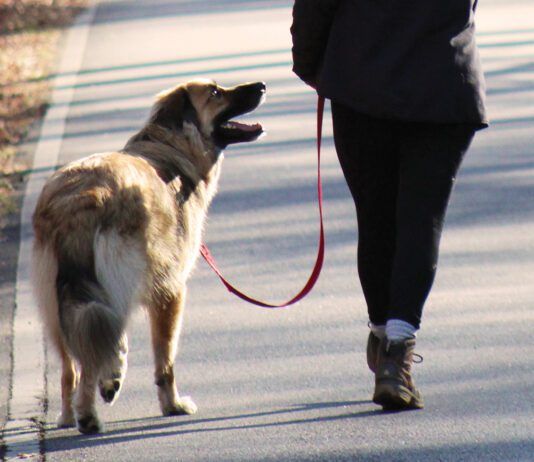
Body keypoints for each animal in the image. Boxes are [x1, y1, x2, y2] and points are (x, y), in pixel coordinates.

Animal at [31, 79, 266, 434]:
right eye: (215, 93)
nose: (262, 86)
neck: (171, 147)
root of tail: (76, 202)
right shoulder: (170, 291)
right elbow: (165, 359)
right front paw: (172, 405)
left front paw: (113, 374)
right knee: (87, 362)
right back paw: (87, 416)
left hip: (57, 303)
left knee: (70, 365)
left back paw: (69, 414)